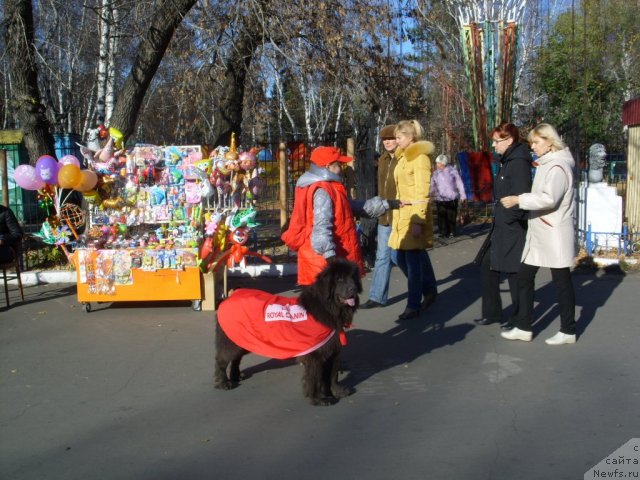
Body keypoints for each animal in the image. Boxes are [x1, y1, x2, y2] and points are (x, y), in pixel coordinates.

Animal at [212, 258, 358, 404]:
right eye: (339, 279)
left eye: (352, 277)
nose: (353, 288)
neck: (327, 308)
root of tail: (231, 295)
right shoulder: (314, 354)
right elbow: (314, 377)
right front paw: (318, 398)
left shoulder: (332, 349)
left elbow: (333, 374)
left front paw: (337, 391)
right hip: (231, 341)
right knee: (221, 359)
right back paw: (223, 382)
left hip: (242, 339)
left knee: (236, 358)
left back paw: (235, 375)